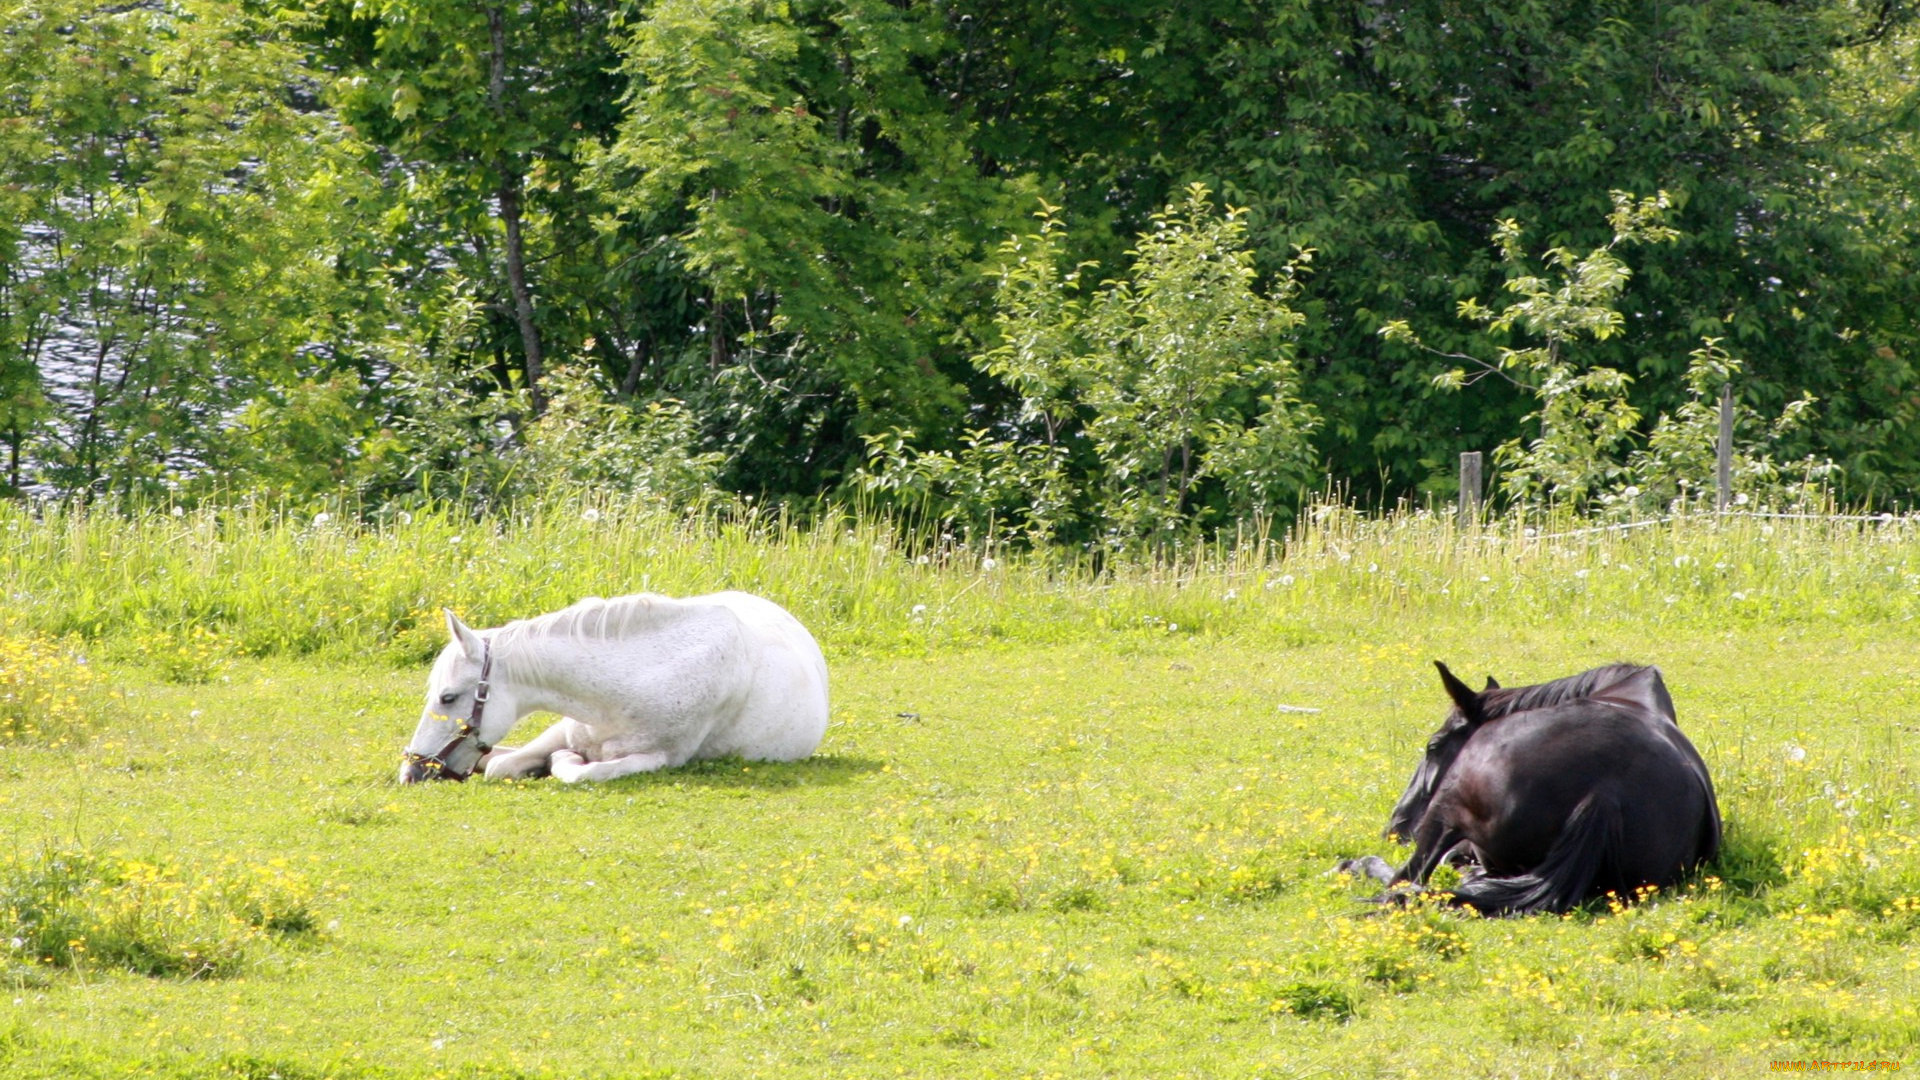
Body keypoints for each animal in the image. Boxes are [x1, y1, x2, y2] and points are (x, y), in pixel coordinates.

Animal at [397, 588, 825, 780]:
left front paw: (561, 763)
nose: (411, 772)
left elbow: (579, 771)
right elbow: (503, 764)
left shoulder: (659, 758)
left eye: (447, 697)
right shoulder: (562, 731)